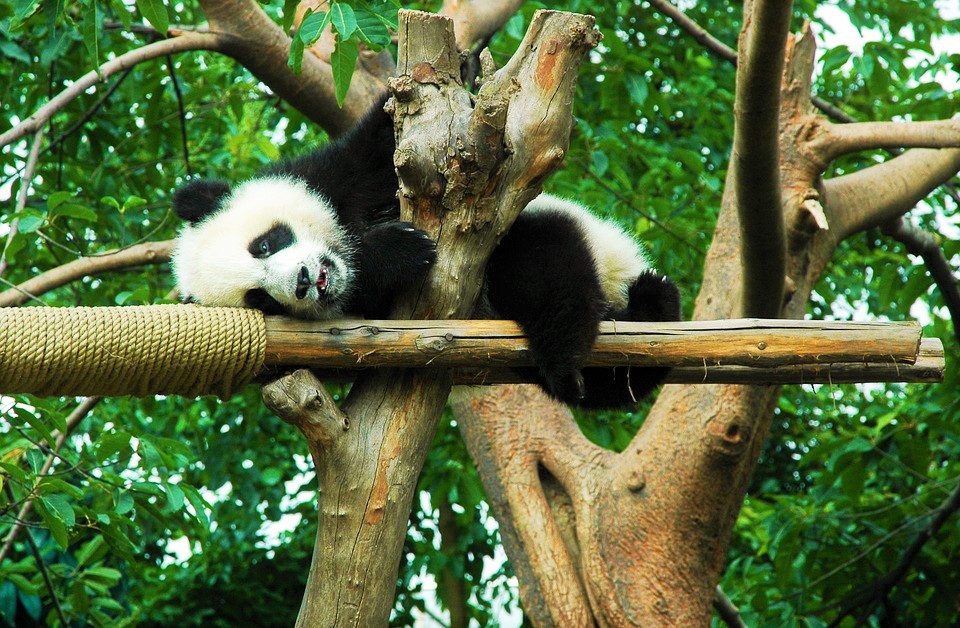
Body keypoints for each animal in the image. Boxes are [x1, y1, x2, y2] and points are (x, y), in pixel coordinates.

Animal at [171, 96, 681, 409]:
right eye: (261, 300)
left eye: (265, 244)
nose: (302, 281)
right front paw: (394, 251)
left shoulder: (328, 178)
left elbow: (377, 150)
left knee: (544, 268)